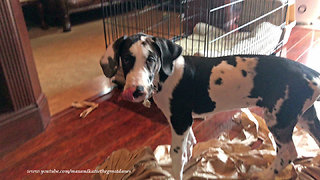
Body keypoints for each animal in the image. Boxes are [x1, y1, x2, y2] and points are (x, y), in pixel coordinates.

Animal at [100, 33, 320, 179]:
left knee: (288, 153)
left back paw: (265, 175)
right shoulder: (184, 121)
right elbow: (189, 144)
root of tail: (311, 74)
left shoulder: (179, 120)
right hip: (307, 117)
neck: (165, 76)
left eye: (151, 59)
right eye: (126, 59)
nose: (135, 91)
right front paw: (190, 159)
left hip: (279, 119)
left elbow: (177, 156)